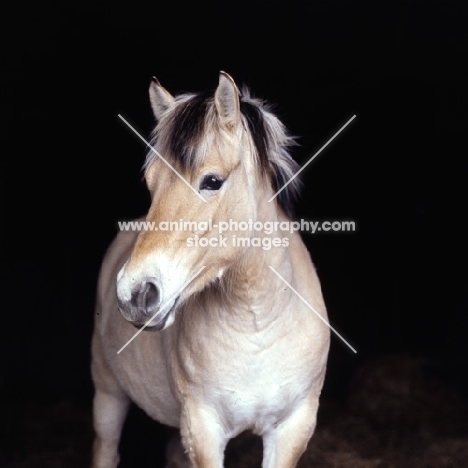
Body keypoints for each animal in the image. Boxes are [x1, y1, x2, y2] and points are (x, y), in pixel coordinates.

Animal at [91, 70, 330, 468]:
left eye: (212, 181)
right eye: (150, 182)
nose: (134, 294)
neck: (256, 324)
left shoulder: (293, 429)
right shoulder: (202, 430)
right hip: (108, 395)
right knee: (106, 449)